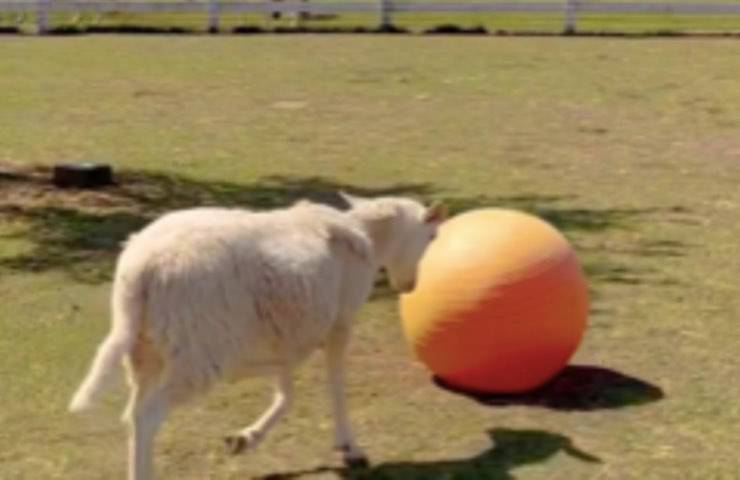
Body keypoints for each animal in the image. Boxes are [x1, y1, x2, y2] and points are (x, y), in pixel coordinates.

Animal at [69, 193, 447, 480]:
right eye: (432, 238)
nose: (410, 287)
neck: (367, 236)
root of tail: (140, 270)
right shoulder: (340, 322)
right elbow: (335, 383)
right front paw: (349, 448)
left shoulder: (283, 336)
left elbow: (286, 388)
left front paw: (246, 438)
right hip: (199, 351)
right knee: (149, 415)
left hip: (146, 348)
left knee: (133, 414)